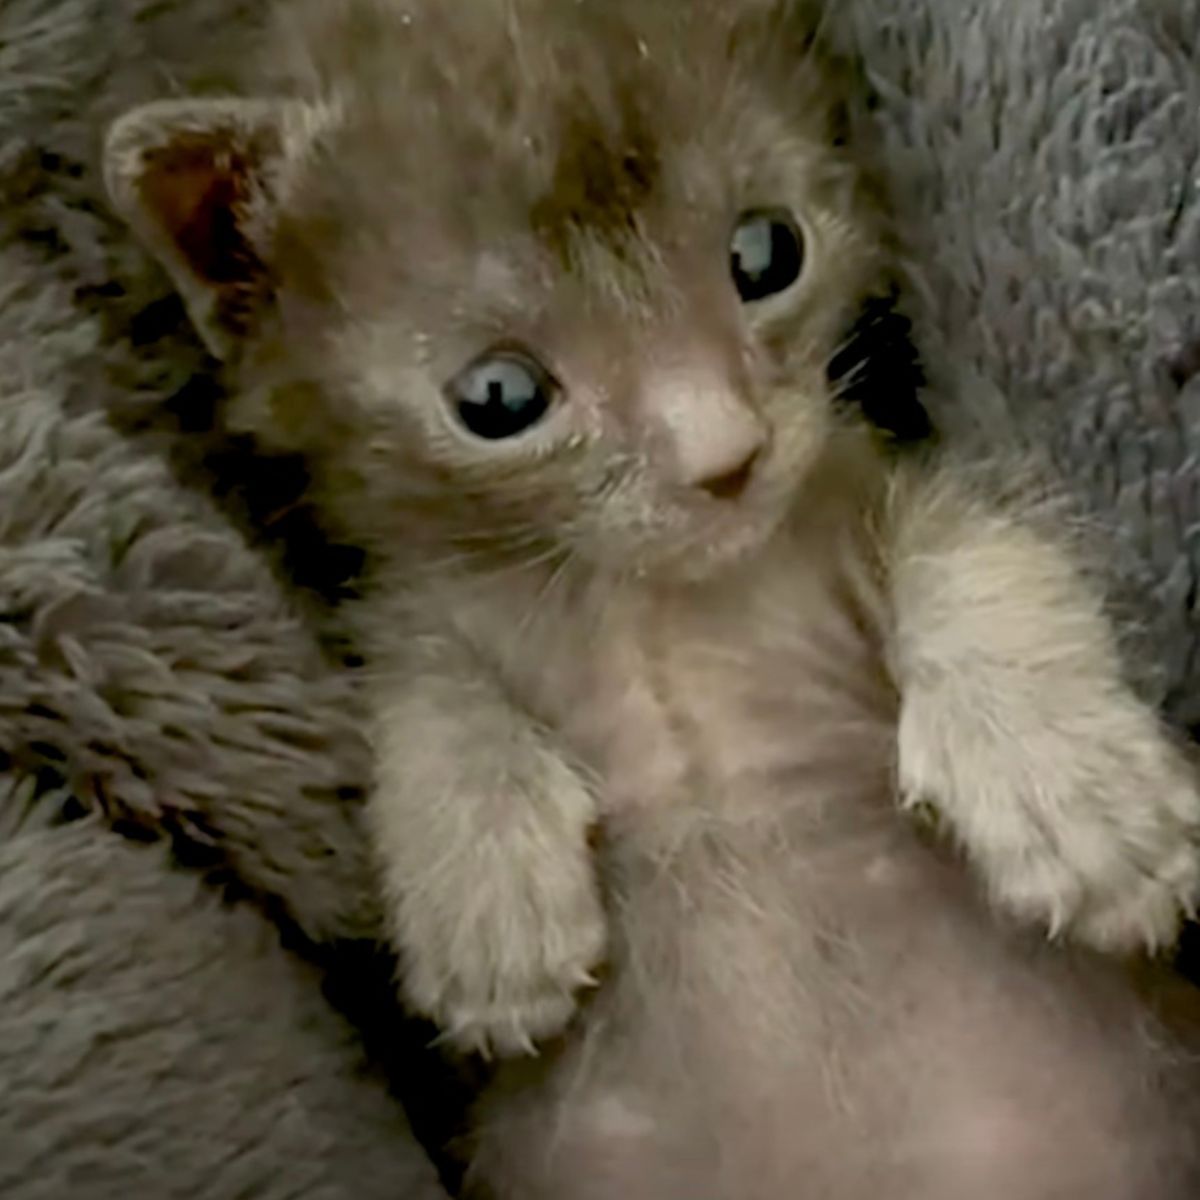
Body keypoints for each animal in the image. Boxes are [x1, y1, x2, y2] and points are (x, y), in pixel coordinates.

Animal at [103, 2, 1200, 1190]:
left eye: (767, 253)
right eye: (500, 398)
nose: (726, 456)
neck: (659, 598)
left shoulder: (879, 482)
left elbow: (971, 537)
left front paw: (1076, 795)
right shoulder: (422, 607)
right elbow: (420, 691)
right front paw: (484, 904)